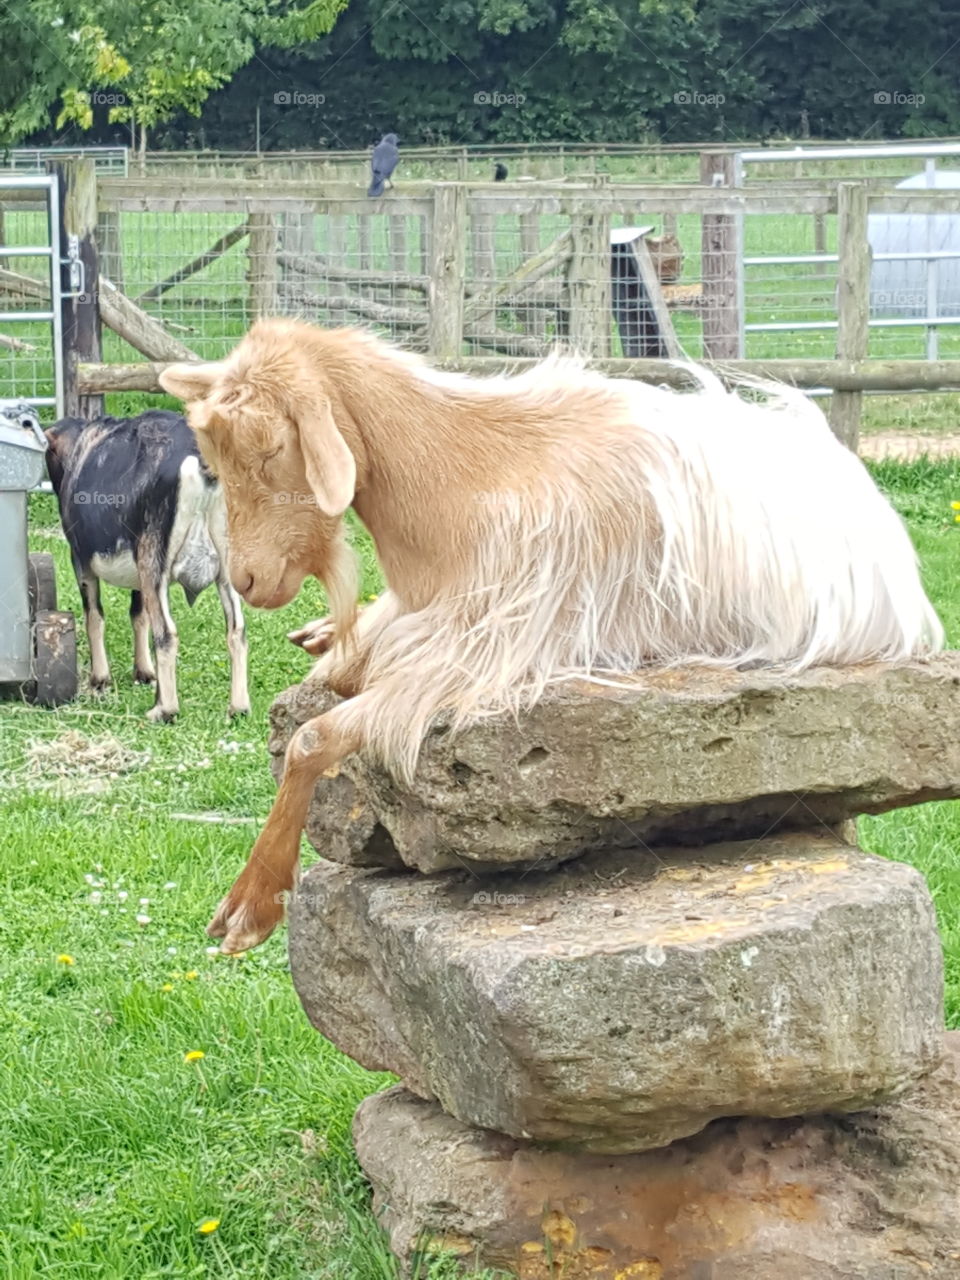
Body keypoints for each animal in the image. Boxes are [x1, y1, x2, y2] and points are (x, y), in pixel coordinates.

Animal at [46, 409, 249, 721]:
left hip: (155, 560)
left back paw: (163, 709)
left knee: (166, 633)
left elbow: (94, 615)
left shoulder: (80, 558)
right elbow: (138, 614)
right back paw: (238, 707)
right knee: (237, 629)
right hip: (225, 567)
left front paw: (99, 679)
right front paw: (143, 672)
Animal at [161, 320, 942, 952]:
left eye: (272, 449)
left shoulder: (475, 657)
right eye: (213, 458)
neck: (463, 485)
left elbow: (312, 738)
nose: (250, 579)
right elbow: (325, 688)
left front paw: (249, 907)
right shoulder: (416, 621)